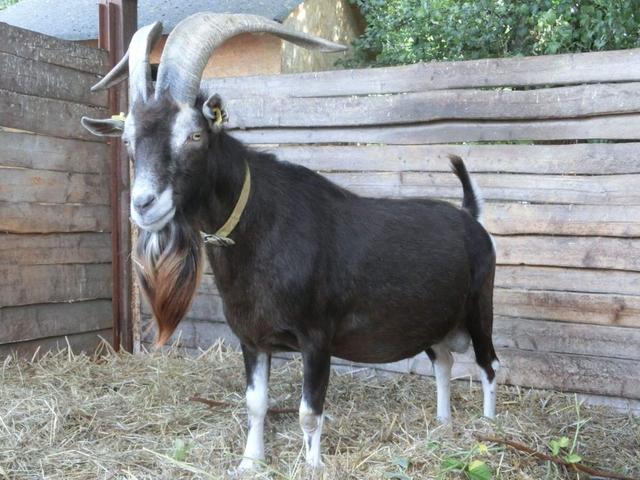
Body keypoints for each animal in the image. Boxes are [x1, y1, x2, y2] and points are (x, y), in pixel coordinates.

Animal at [81, 13, 499, 472]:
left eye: (194, 135)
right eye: (128, 140)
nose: (144, 205)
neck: (262, 228)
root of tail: (469, 217)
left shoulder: (316, 338)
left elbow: (309, 411)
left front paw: (313, 466)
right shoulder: (251, 339)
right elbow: (255, 403)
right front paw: (250, 463)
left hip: (479, 306)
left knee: (488, 364)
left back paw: (488, 428)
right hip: (436, 321)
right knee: (444, 361)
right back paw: (442, 424)